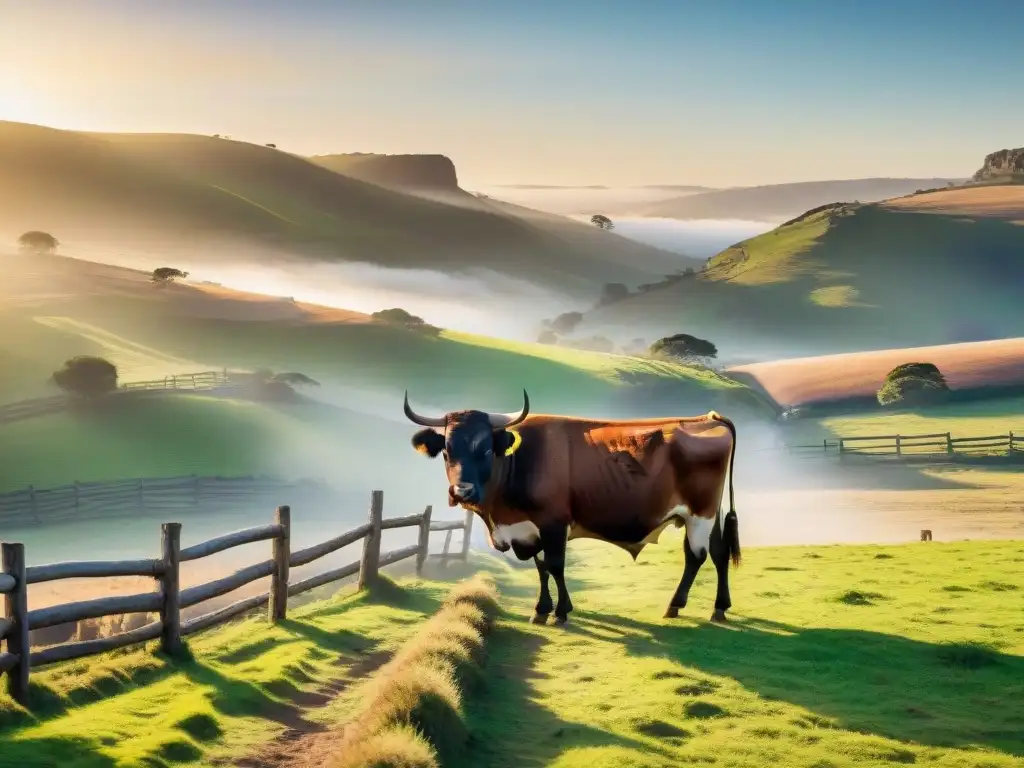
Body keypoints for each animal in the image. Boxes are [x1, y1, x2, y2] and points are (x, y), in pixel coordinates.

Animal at [403, 391, 741, 626]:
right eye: (446, 451)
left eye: (485, 449)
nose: (462, 491)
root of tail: (709, 418)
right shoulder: (528, 528)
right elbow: (540, 567)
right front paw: (541, 610)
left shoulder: (553, 522)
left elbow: (554, 565)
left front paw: (561, 612)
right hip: (709, 514)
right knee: (719, 551)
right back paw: (719, 607)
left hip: (699, 512)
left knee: (695, 556)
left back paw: (675, 604)